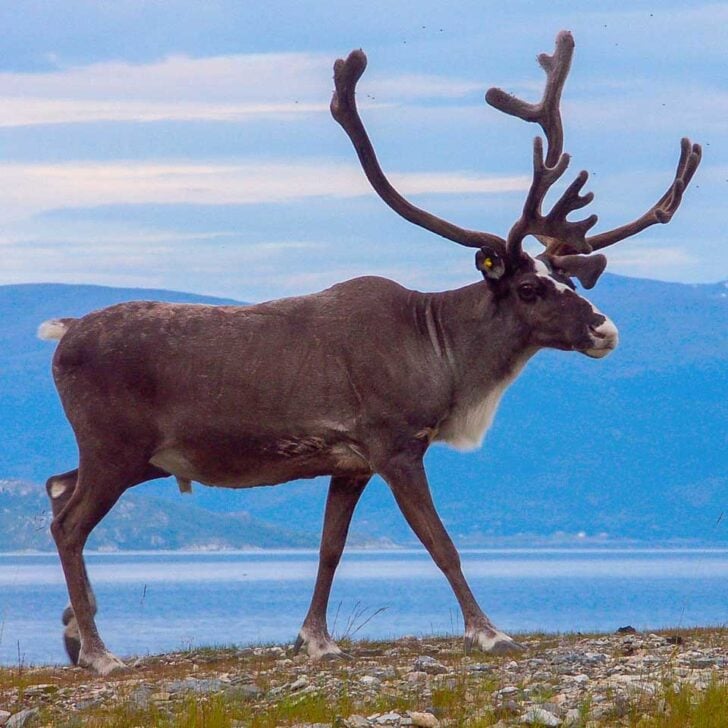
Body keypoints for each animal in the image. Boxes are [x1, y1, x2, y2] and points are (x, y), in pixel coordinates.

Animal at [38, 31, 700, 675]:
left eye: (566, 277)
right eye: (531, 288)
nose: (605, 330)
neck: (440, 350)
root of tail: (64, 334)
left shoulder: (349, 463)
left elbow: (330, 549)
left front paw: (317, 640)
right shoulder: (395, 445)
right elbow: (441, 543)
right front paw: (488, 633)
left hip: (139, 458)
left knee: (55, 487)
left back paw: (81, 634)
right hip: (115, 448)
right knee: (68, 523)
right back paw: (100, 654)